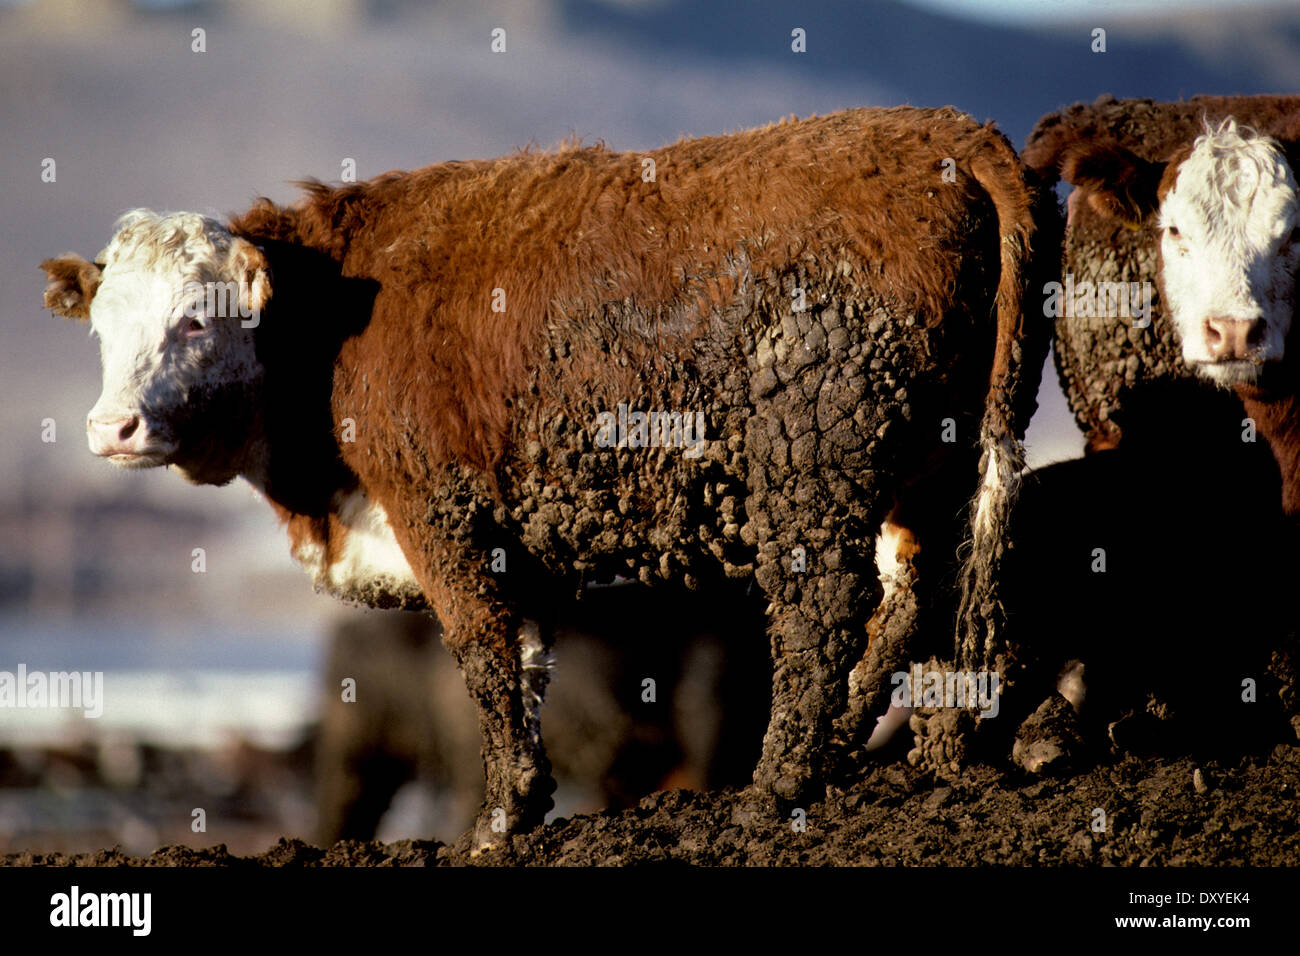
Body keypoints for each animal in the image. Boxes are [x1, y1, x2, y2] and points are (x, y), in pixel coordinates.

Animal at [40, 108, 1060, 848]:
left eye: (197, 318)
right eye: (103, 325)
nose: (110, 428)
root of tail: (946, 131)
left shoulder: (440, 513)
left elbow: (484, 658)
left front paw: (495, 823)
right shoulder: (509, 546)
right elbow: (525, 666)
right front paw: (523, 808)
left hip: (815, 468)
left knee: (825, 618)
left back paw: (774, 790)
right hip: (926, 465)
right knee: (919, 593)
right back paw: (898, 752)